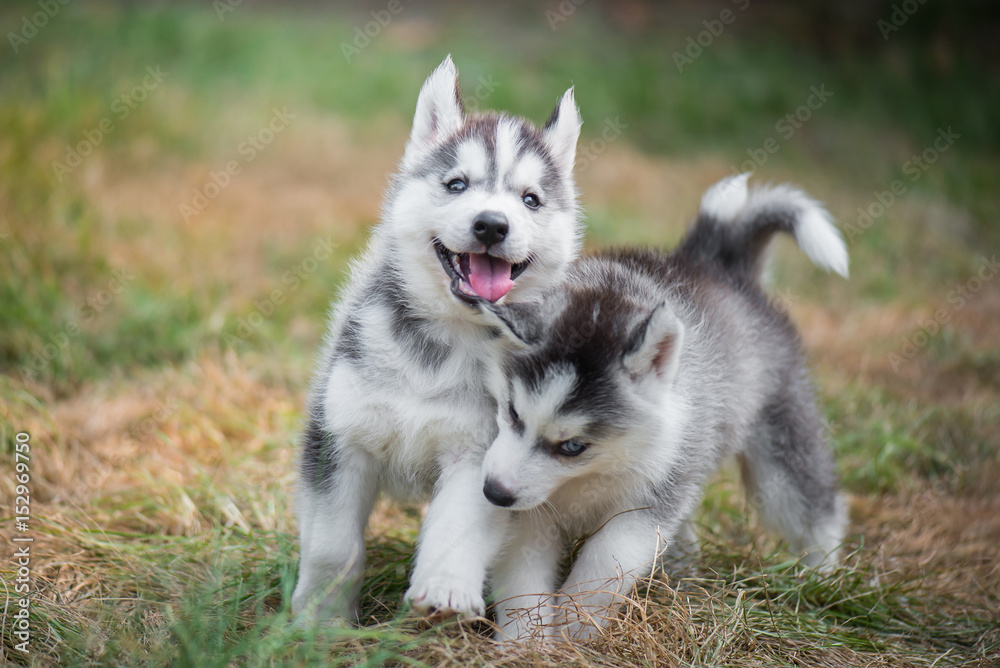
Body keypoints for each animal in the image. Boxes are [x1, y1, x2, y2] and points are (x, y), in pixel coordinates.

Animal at [290, 57, 584, 628]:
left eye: (530, 200)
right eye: (456, 184)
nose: (491, 225)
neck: (446, 338)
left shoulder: (483, 454)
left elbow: (457, 528)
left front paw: (445, 592)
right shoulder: (339, 436)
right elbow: (333, 545)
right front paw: (320, 620)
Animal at [480, 175, 848, 640]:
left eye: (574, 446)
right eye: (512, 413)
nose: (493, 492)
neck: (593, 474)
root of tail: (713, 264)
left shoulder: (651, 501)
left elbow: (608, 556)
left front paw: (575, 625)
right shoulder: (529, 512)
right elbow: (523, 573)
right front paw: (524, 640)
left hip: (779, 444)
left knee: (815, 505)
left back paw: (823, 577)